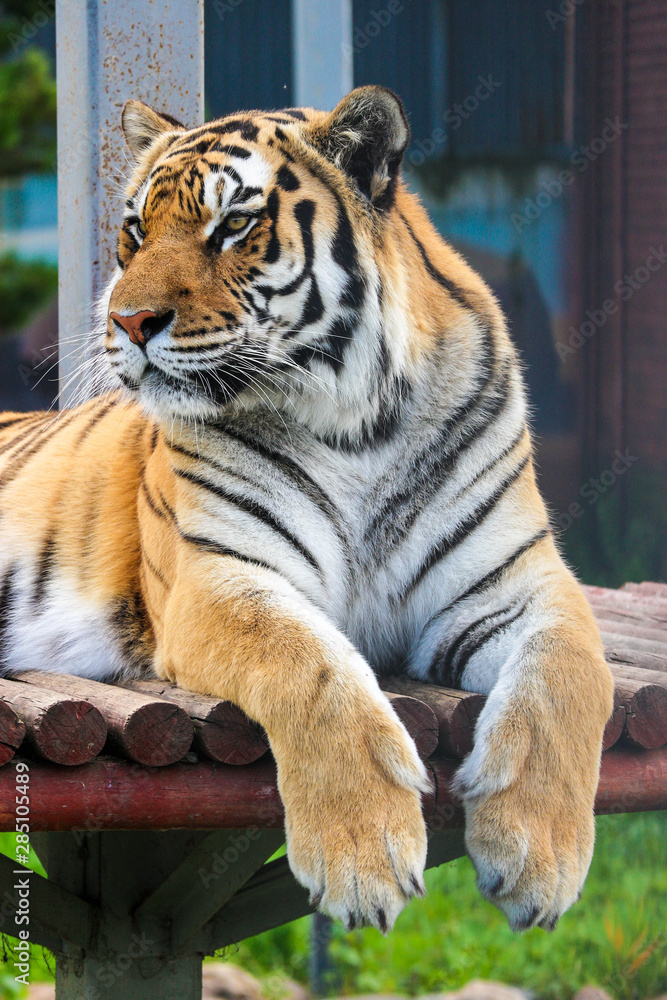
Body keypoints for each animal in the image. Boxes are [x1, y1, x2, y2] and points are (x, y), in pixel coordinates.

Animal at [0, 86, 613, 934]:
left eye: (232, 225)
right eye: (135, 230)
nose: (126, 323)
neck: (361, 424)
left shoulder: (515, 584)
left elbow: (568, 678)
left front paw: (538, 855)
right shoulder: (220, 581)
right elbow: (312, 669)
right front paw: (363, 859)